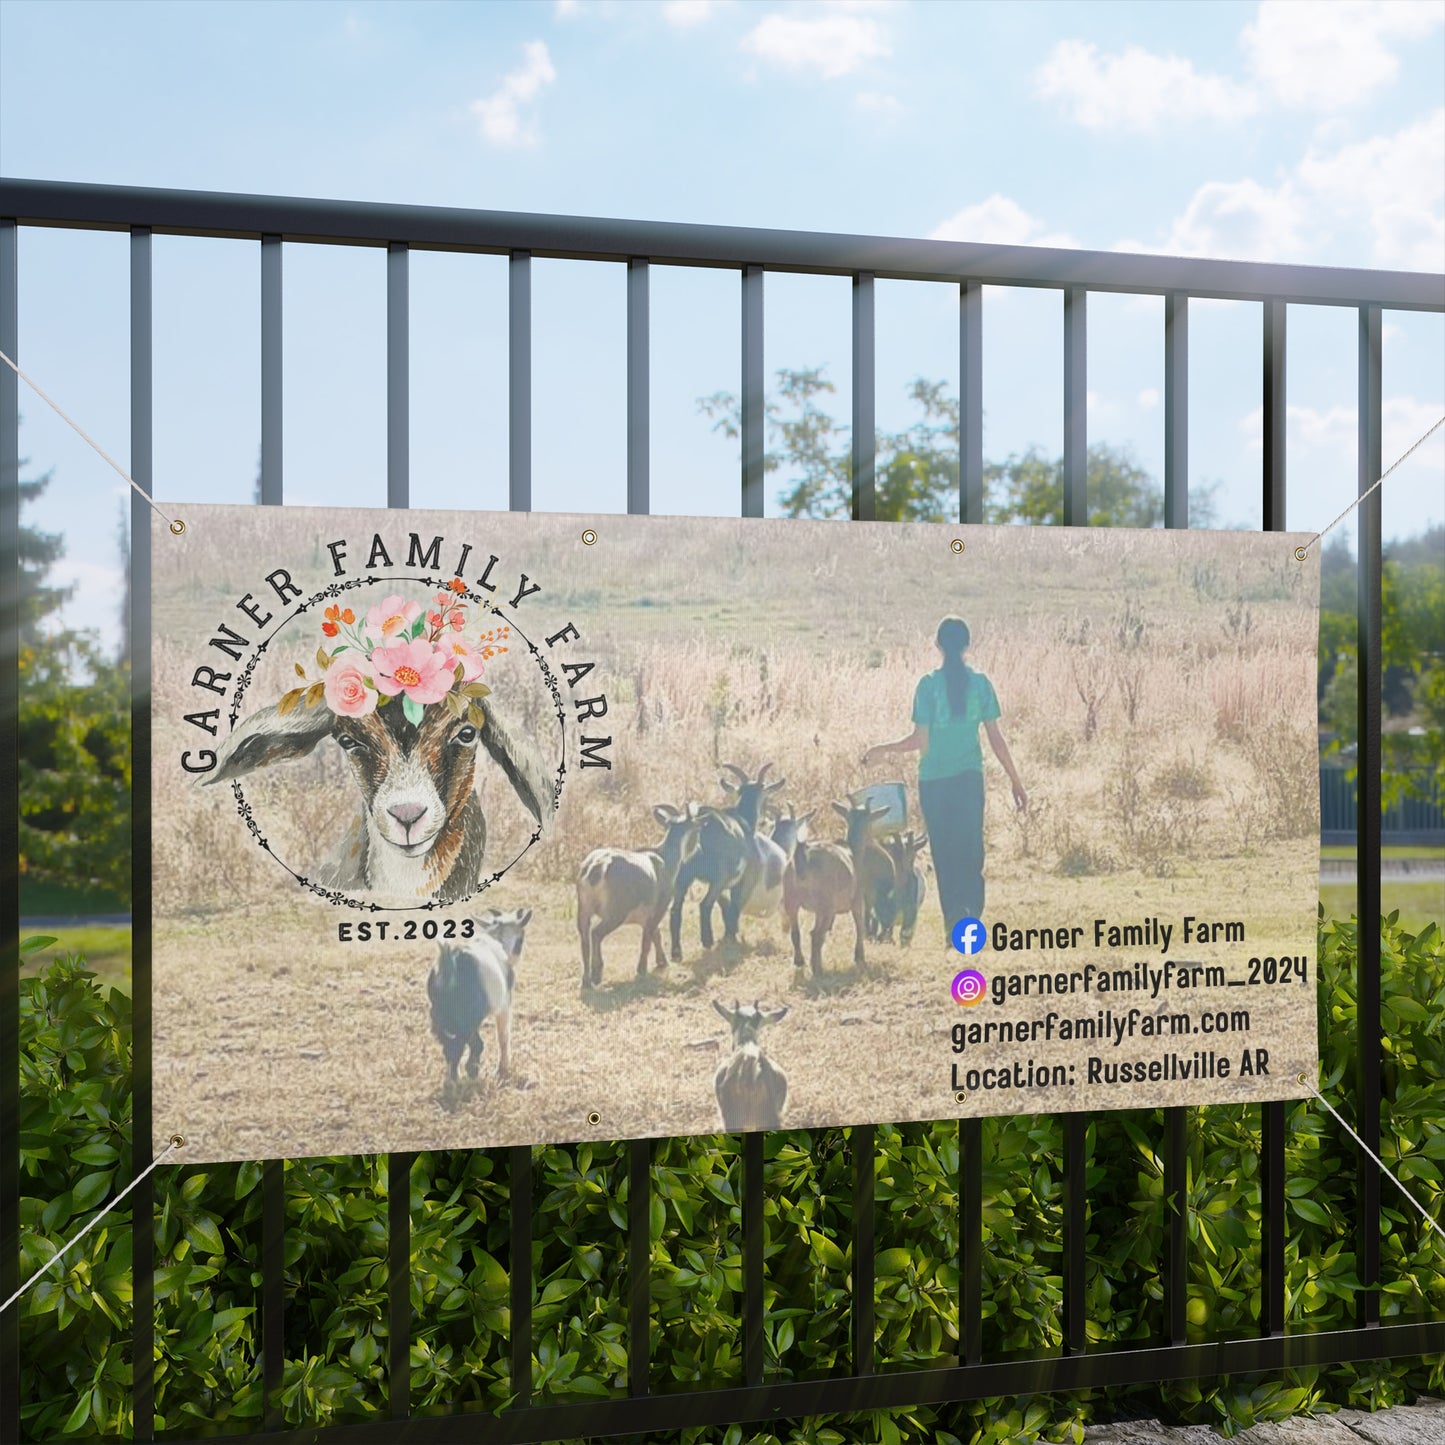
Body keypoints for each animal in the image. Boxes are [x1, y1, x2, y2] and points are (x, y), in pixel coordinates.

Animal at [424, 907, 534, 1098]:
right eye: (520, 939)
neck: (497, 940)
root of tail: (450, 961)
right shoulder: (504, 1005)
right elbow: (503, 1036)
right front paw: (502, 1070)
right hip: (467, 1020)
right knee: (467, 1046)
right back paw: (467, 1078)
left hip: (439, 1016)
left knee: (449, 1046)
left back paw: (451, 1081)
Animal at [580, 803, 705, 994]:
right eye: (697, 830)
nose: (698, 849)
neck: (665, 859)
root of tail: (597, 867)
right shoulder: (661, 906)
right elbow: (647, 938)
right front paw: (642, 969)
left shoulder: (645, 915)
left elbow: (655, 934)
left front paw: (662, 962)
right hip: (616, 912)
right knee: (596, 933)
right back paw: (596, 974)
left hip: (584, 908)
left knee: (584, 938)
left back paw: (586, 980)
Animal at [786, 797, 884, 976]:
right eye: (871, 821)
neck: (853, 852)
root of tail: (802, 861)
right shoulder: (857, 899)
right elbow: (860, 924)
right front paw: (859, 956)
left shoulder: (817, 910)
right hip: (826, 903)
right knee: (817, 935)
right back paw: (817, 969)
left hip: (791, 899)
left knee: (797, 933)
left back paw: (800, 961)